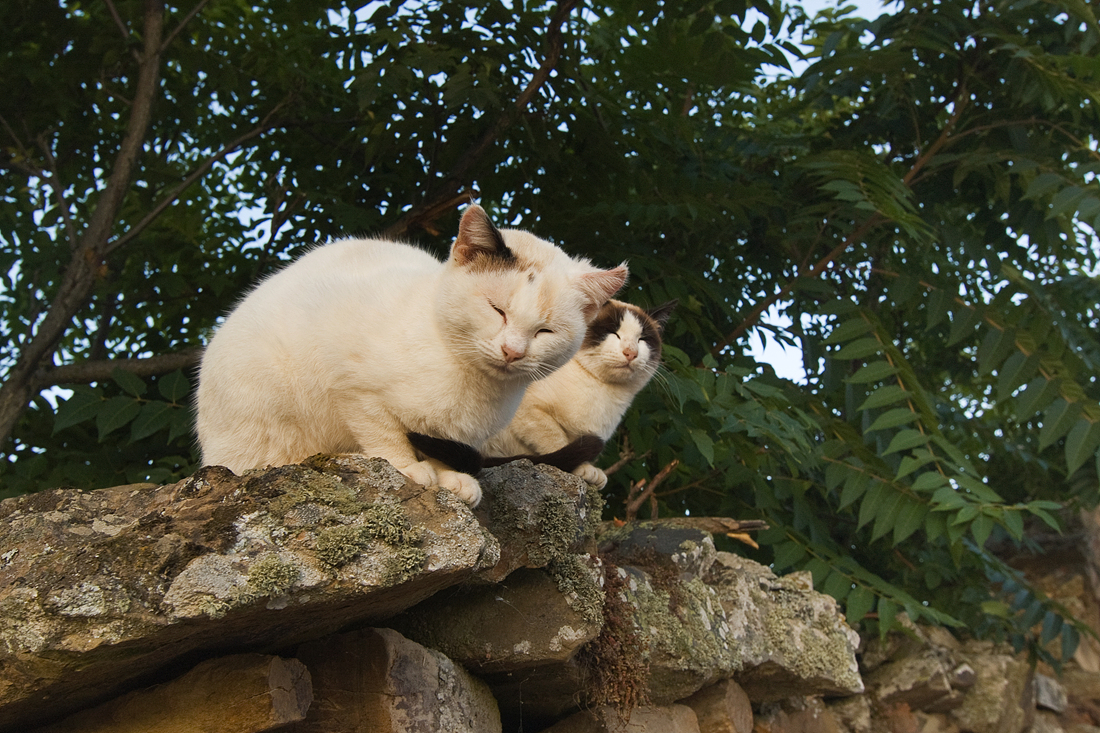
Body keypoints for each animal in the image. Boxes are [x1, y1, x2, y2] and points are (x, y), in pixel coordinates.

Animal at [195, 204, 627, 506]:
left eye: (544, 332)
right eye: (497, 310)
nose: (512, 351)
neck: (471, 385)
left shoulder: (451, 434)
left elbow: (438, 448)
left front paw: (448, 479)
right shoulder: (352, 385)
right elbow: (383, 433)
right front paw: (406, 468)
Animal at [411, 299, 675, 489]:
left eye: (642, 340)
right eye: (614, 334)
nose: (630, 352)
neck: (604, 394)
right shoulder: (530, 413)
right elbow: (557, 442)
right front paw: (584, 470)